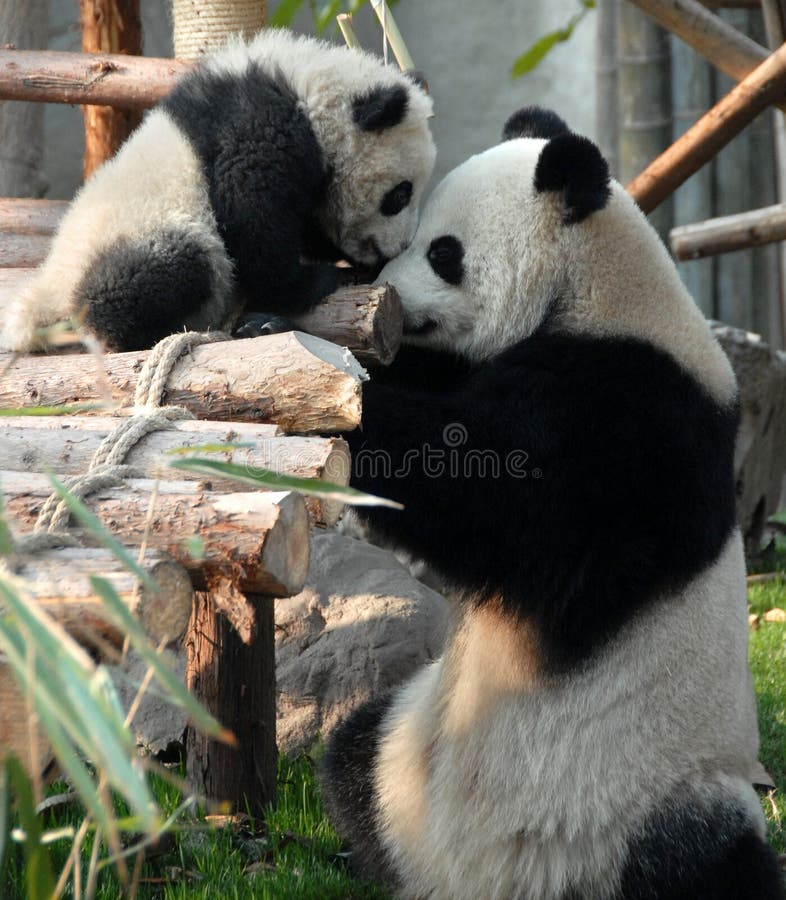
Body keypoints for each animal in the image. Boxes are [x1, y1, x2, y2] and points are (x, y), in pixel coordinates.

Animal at [0, 29, 434, 352]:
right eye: (399, 195)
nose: (396, 247)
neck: (310, 87)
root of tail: (45, 298)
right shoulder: (261, 127)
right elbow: (252, 213)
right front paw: (314, 280)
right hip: (144, 230)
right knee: (161, 271)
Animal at [320, 107, 784, 900]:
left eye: (444, 253)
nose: (390, 293)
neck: (597, 289)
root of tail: (475, 881)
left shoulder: (635, 414)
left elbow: (499, 499)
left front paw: (340, 394)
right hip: (405, 750)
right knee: (350, 753)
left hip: (655, 799)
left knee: (710, 860)